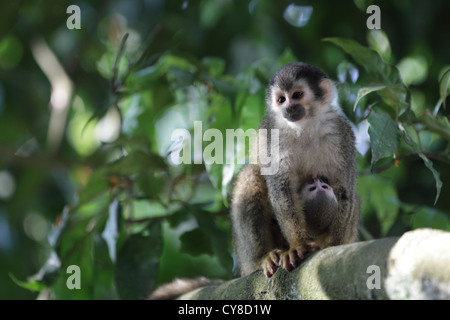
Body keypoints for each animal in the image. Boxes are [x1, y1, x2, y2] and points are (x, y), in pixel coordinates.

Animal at [230, 62, 360, 278]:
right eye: (281, 99)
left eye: (297, 95)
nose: (288, 107)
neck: (304, 126)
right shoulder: (272, 137)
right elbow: (282, 191)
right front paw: (298, 245)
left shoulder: (342, 133)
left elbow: (345, 192)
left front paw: (331, 245)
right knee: (252, 174)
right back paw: (261, 257)